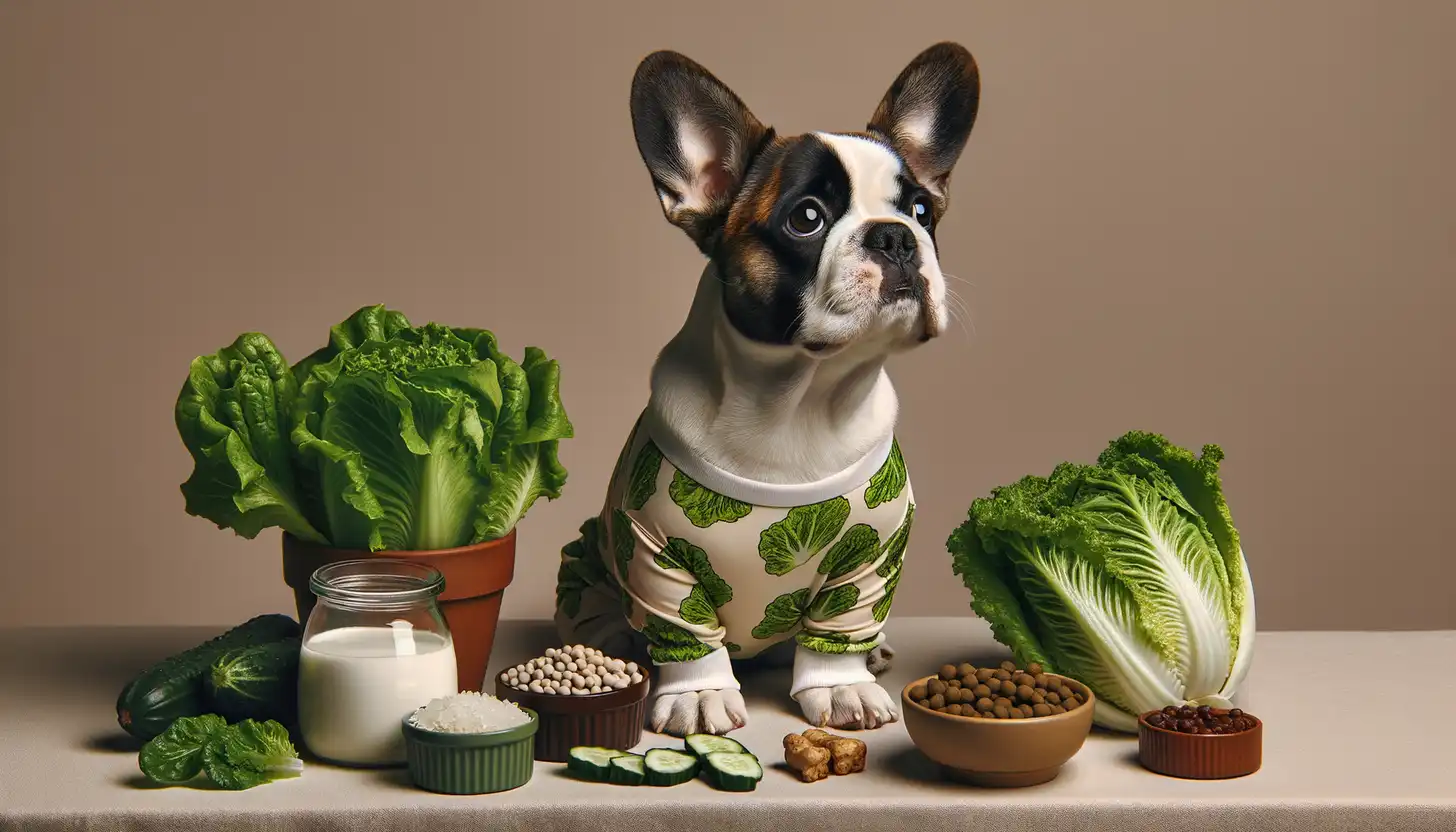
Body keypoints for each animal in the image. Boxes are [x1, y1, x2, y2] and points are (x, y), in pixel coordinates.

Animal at [553, 40, 978, 734]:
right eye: (806, 218)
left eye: (920, 211)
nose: (894, 235)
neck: (799, 399)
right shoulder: (656, 557)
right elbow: (687, 633)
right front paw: (698, 693)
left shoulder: (871, 556)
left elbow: (841, 626)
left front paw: (841, 684)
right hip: (588, 556)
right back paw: (611, 641)